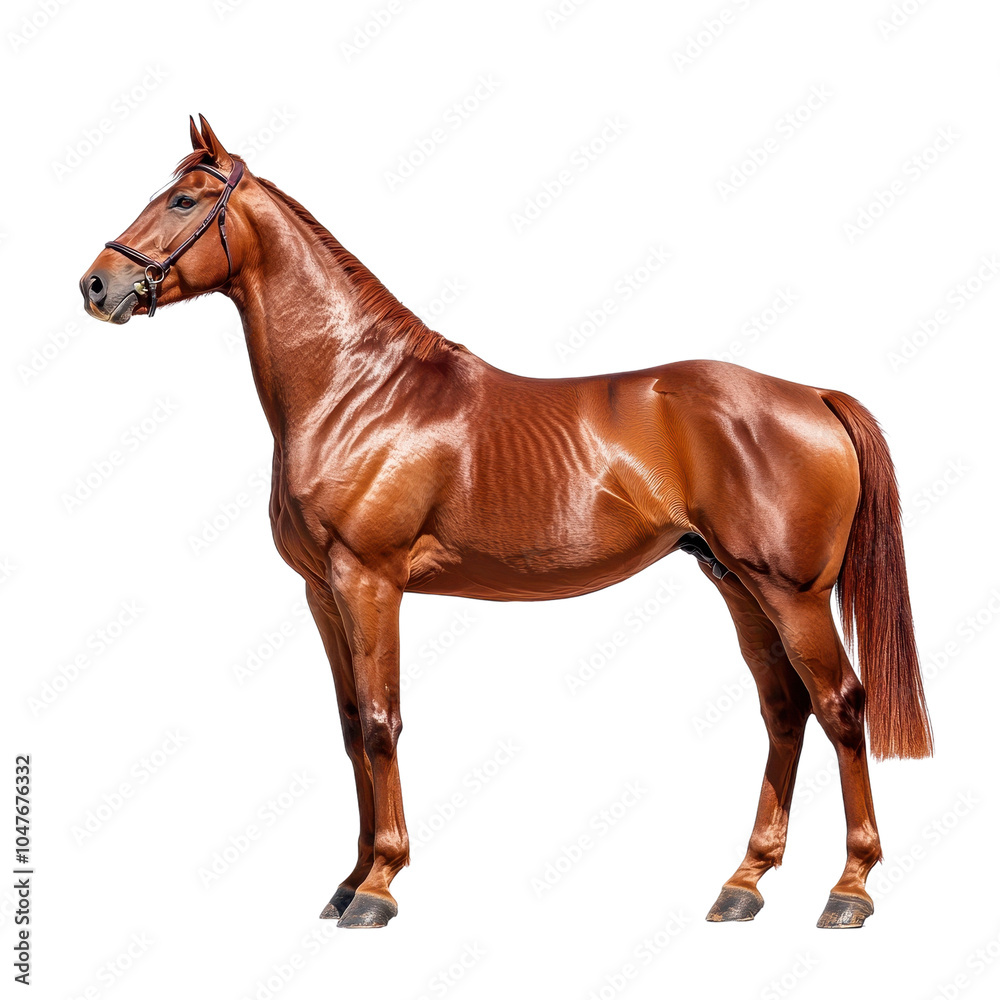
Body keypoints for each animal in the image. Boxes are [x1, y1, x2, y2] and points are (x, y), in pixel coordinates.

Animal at [79, 115, 933, 930]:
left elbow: (382, 722)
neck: (356, 390)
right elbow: (351, 725)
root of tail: (813, 394)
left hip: (792, 593)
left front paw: (379, 887)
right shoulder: (323, 592)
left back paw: (850, 889)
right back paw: (743, 884)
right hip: (735, 582)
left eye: (183, 201)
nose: (97, 284)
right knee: (785, 710)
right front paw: (349, 879)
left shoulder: (369, 580)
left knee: (841, 705)